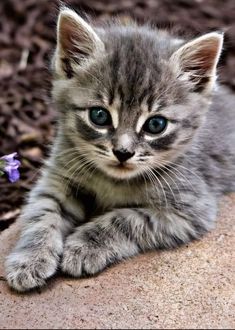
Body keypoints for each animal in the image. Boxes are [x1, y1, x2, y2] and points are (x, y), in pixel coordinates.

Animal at [5, 7, 235, 292]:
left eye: (156, 124)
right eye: (99, 116)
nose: (123, 152)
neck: (112, 181)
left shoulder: (192, 210)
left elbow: (125, 219)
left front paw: (84, 246)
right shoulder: (57, 180)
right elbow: (42, 214)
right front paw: (30, 258)